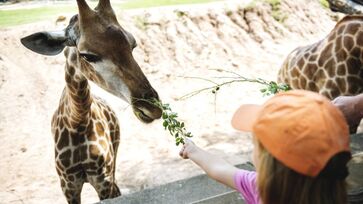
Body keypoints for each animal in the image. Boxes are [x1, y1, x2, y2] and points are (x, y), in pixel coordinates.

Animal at [20, 0, 162, 203]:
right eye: (87, 55)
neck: (77, 122)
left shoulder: (102, 180)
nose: (152, 108)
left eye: (132, 45)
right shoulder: (68, 185)